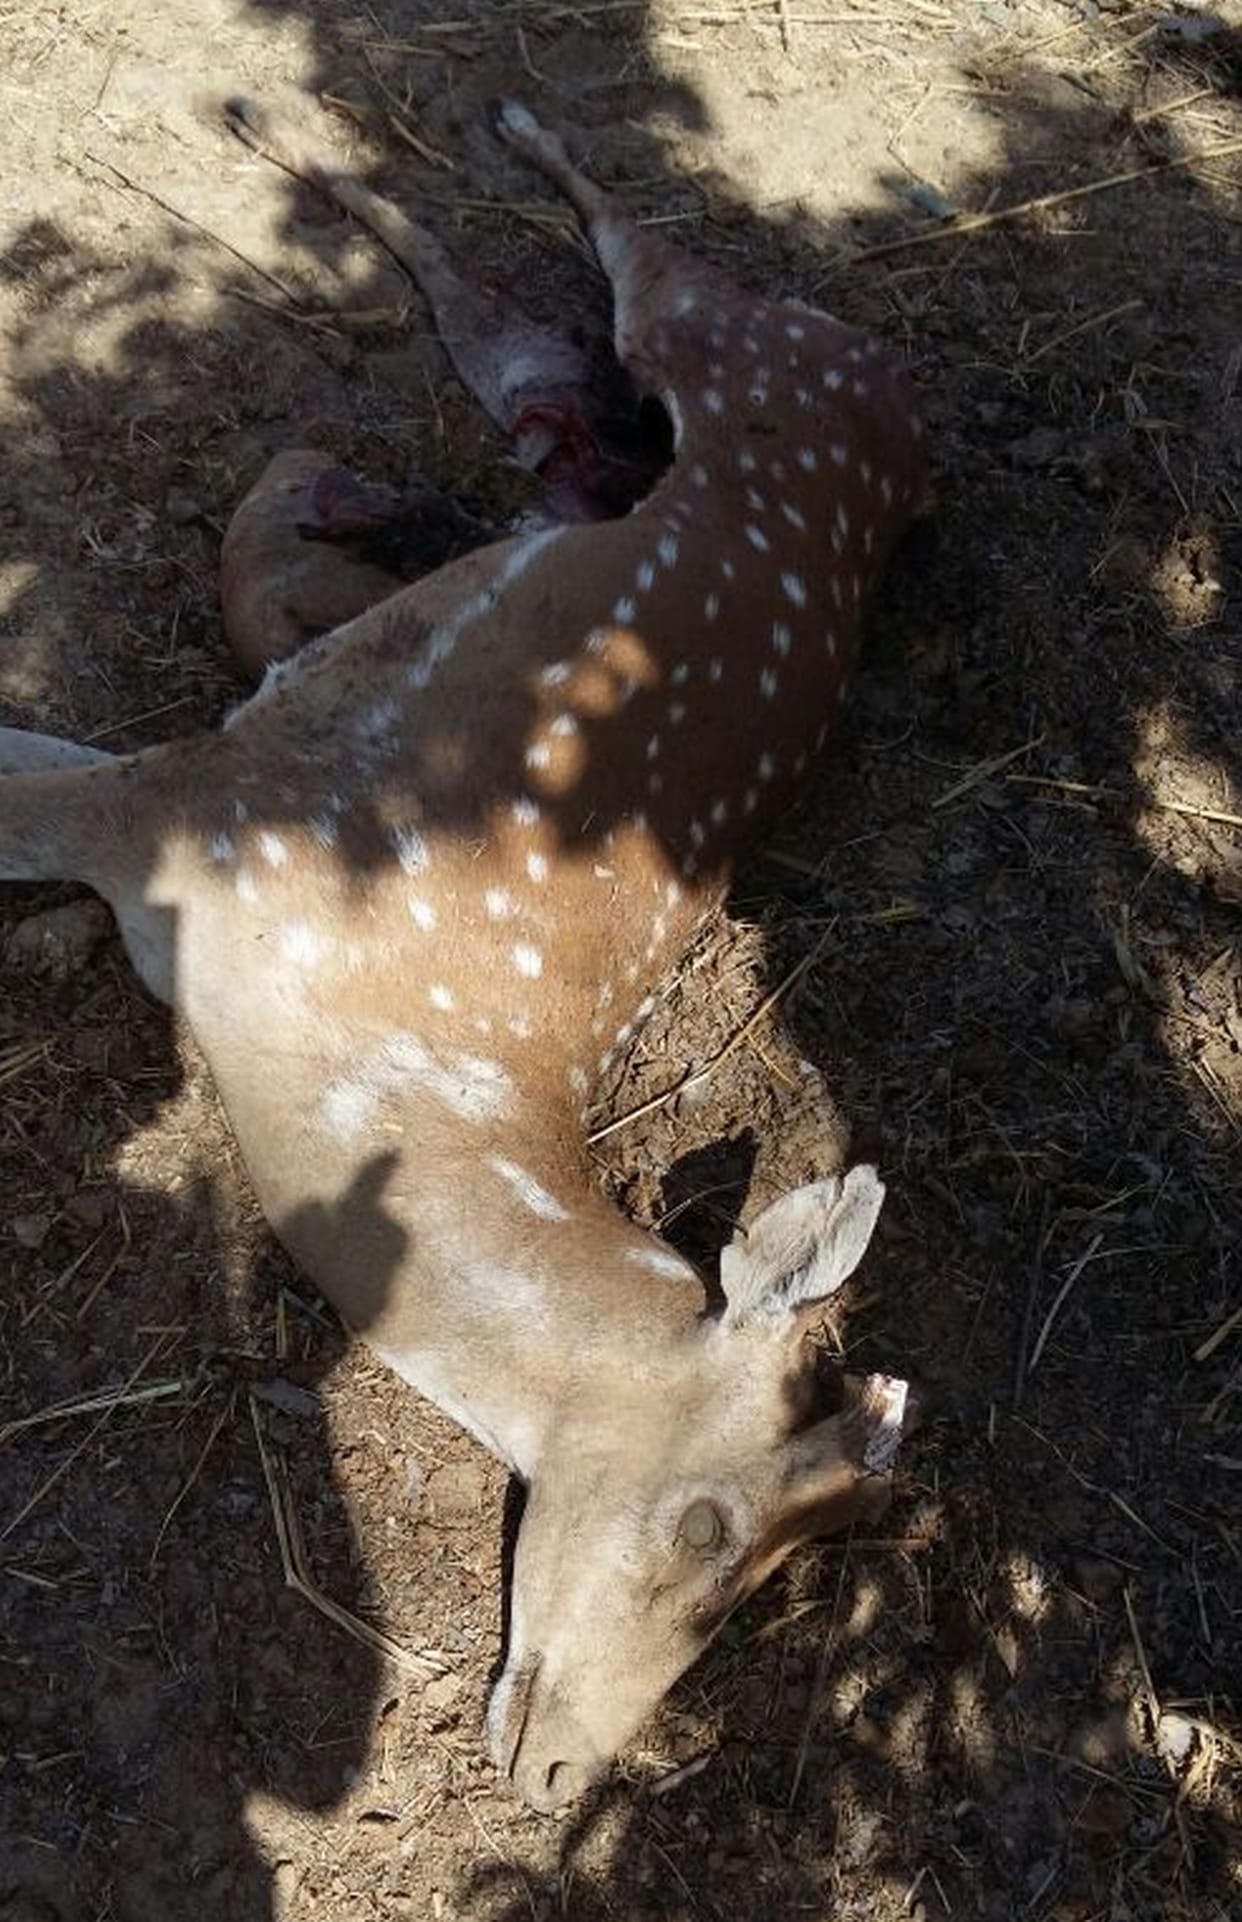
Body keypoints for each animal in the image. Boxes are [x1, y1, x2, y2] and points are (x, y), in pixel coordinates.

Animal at [0, 98, 928, 1812]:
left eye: (776, 1575)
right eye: (710, 1526)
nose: (564, 1776)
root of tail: (897, 396)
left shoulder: (179, 814)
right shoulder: (196, 801)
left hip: (639, 379)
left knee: (504, 318)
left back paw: (321, 148)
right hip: (731, 337)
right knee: (623, 253)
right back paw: (457, 126)